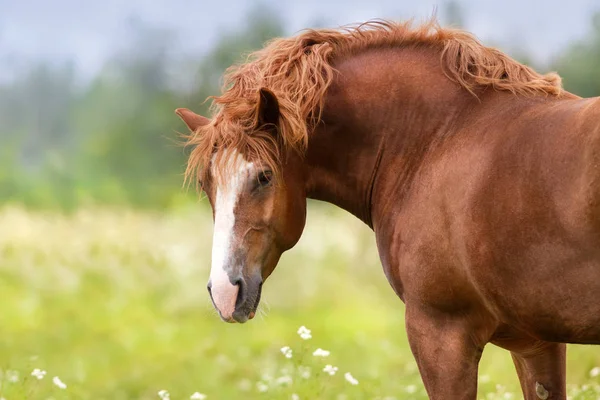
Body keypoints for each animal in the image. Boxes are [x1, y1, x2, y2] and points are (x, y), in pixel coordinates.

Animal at [173, 19, 600, 400]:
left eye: (263, 176)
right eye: (206, 185)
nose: (224, 292)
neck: (439, 139)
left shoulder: (441, 333)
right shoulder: (536, 343)